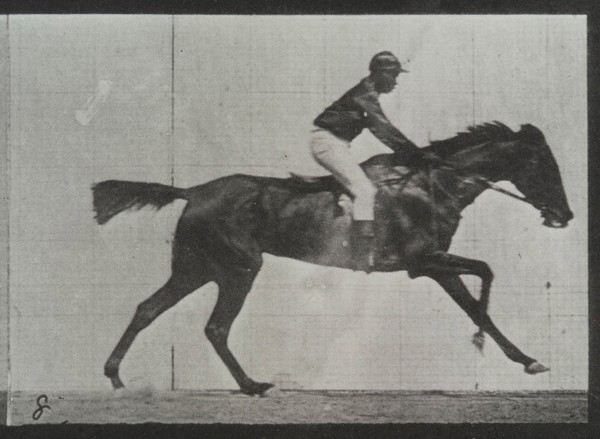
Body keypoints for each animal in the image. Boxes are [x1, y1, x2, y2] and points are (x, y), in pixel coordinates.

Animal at [92, 122, 572, 398]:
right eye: (545, 166)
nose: (564, 215)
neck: (433, 184)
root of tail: (191, 191)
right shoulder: (424, 263)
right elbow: (485, 276)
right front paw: (493, 345)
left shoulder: (433, 265)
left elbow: (475, 300)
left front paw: (524, 358)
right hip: (239, 268)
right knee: (215, 327)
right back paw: (252, 385)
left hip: (197, 268)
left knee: (147, 308)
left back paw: (115, 377)